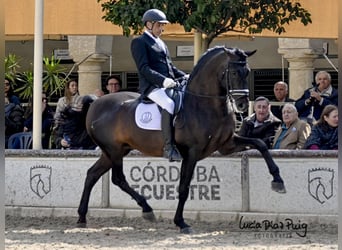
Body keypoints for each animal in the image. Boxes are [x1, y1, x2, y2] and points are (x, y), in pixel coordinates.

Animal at [78, 47, 286, 234]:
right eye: (234, 72)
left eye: (248, 71)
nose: (242, 104)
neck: (205, 104)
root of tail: (96, 103)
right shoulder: (192, 152)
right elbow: (184, 187)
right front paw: (181, 222)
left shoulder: (227, 145)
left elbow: (260, 145)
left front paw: (278, 181)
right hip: (113, 150)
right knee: (118, 178)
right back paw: (147, 209)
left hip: (116, 151)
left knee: (92, 174)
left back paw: (82, 217)